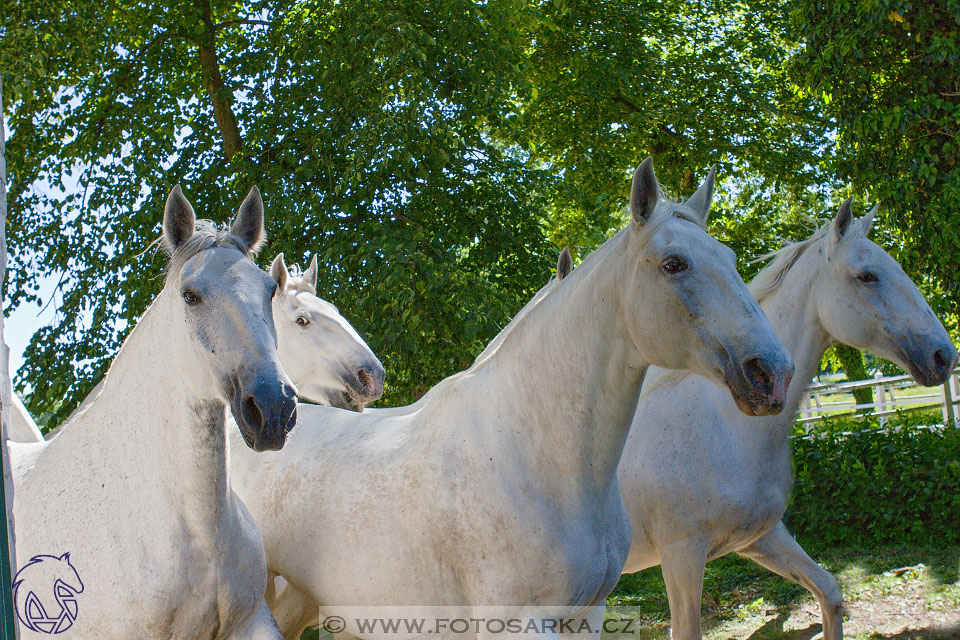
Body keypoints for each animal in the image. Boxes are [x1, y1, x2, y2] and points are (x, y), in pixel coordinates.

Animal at [231, 159, 796, 640]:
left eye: (731, 259)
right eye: (674, 264)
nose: (773, 373)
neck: (536, 455)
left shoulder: (587, 614)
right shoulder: (518, 623)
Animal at [620, 198, 956, 636]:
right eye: (867, 276)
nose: (944, 356)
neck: (727, 428)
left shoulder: (761, 538)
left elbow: (829, 591)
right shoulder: (682, 554)